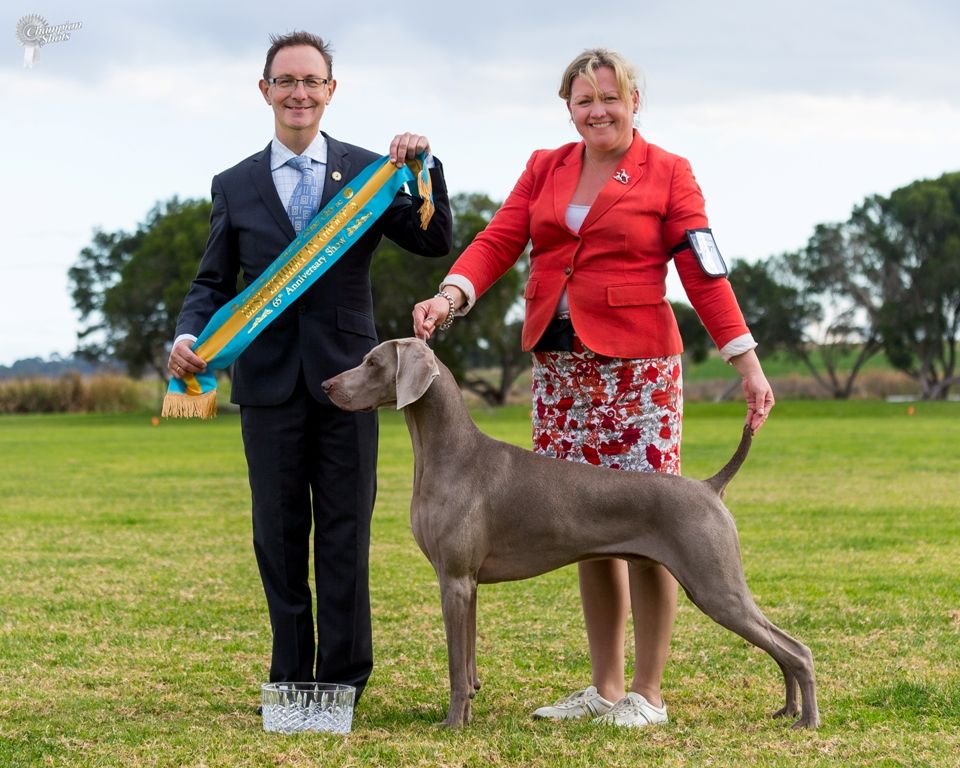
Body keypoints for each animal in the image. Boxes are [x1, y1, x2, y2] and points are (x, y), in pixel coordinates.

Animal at [322, 338, 819, 729]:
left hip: (715, 585)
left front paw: (452, 724)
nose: (327, 386)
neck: (448, 454)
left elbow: (455, 669)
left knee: (796, 649)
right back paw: (788, 710)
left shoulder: (455, 580)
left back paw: (807, 720)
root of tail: (709, 486)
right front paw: (469, 708)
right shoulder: (468, 584)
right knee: (782, 648)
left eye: (372, 362)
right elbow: (468, 661)